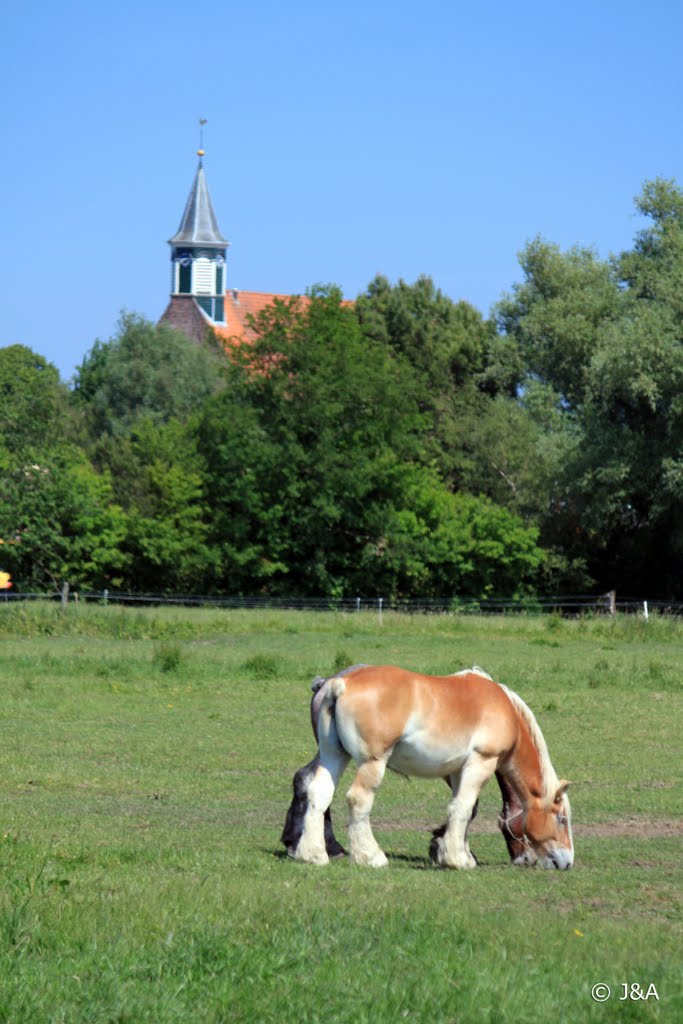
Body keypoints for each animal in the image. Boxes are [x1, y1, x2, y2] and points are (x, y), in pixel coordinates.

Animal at [286, 663, 573, 872]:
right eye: (562, 819)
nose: (566, 861)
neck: (502, 708)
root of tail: (339, 683)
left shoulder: (458, 771)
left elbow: (464, 810)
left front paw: (456, 852)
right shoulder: (481, 763)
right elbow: (463, 808)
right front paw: (457, 859)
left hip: (334, 756)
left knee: (318, 792)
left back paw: (312, 853)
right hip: (372, 764)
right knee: (358, 800)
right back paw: (371, 856)